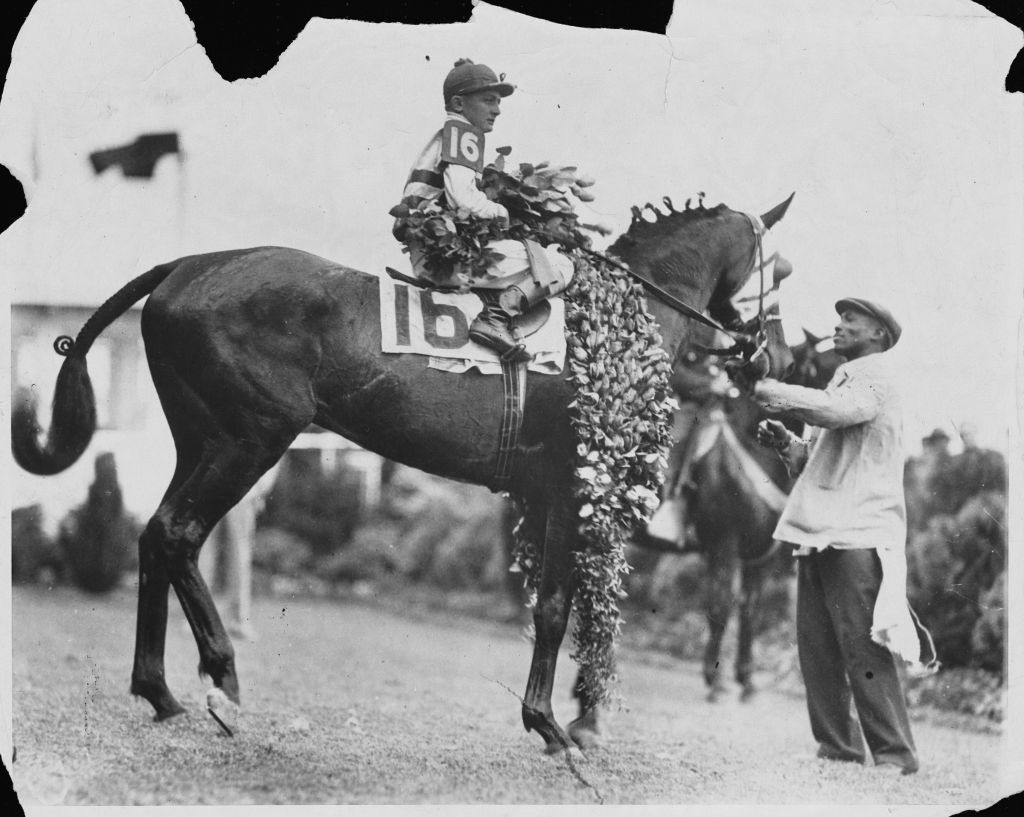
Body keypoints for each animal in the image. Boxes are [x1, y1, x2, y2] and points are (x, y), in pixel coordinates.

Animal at [12, 193, 798, 753]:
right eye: (779, 271)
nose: (775, 356)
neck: (612, 327)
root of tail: (185, 265)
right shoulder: (574, 491)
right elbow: (554, 608)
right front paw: (552, 723)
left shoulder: (550, 498)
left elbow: (558, 606)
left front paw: (564, 717)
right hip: (248, 439)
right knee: (177, 534)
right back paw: (221, 677)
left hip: (202, 440)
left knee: (155, 537)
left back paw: (160, 689)